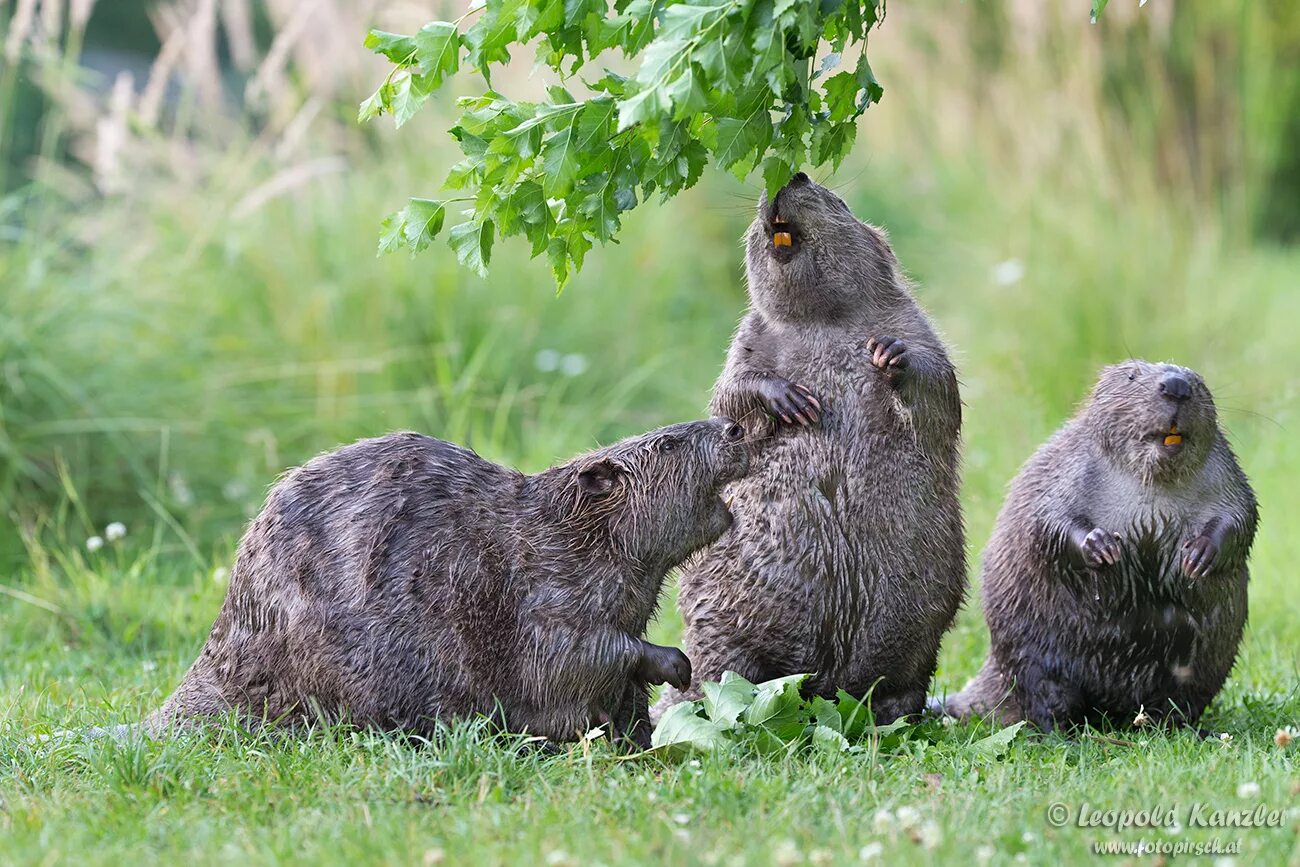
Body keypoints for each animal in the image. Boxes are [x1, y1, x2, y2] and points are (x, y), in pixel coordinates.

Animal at [148, 421, 748, 748]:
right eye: (669, 443)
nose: (734, 427)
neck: (561, 529)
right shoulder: (544, 587)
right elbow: (572, 657)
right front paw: (678, 664)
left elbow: (620, 687)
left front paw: (644, 740)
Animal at [660, 171, 967, 727]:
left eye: (838, 199)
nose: (791, 174)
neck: (821, 322)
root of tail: (823, 689)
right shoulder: (749, 334)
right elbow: (729, 394)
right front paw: (790, 400)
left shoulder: (916, 324)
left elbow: (940, 388)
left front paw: (891, 355)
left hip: (920, 641)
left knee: (904, 682)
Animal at [946, 358, 1258, 733]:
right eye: (1132, 376)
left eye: (1198, 382)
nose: (1177, 386)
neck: (1152, 484)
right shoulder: (1070, 462)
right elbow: (1045, 517)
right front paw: (1103, 547)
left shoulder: (1223, 469)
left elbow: (1240, 515)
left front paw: (1198, 555)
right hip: (1034, 656)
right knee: (1046, 701)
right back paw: (1064, 733)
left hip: (1200, 669)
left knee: (1176, 702)